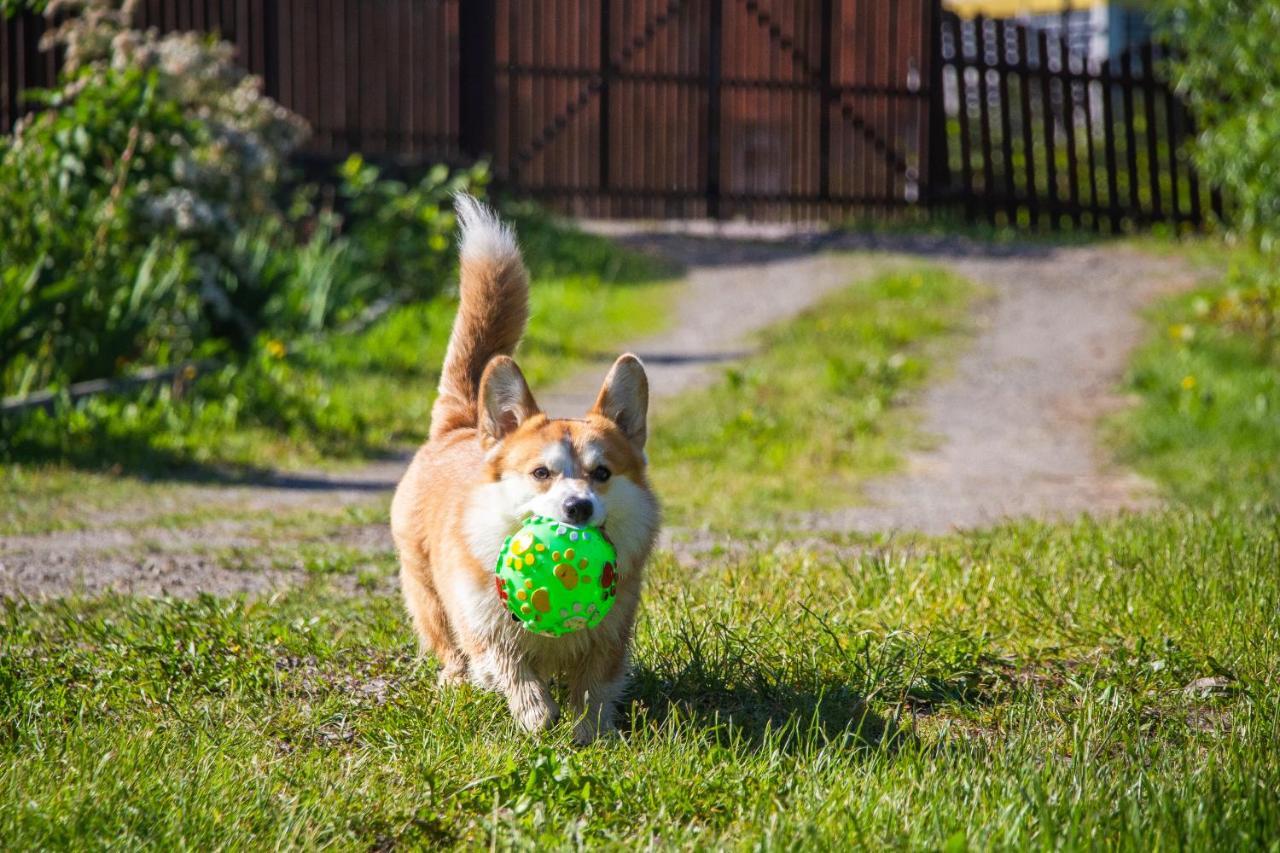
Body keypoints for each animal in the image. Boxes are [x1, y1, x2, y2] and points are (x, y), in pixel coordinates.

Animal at [389, 195, 660, 742]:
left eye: (602, 474)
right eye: (541, 473)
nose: (578, 509)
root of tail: (459, 425)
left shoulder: (612, 635)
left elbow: (595, 687)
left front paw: (589, 734)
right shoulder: (482, 623)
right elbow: (509, 665)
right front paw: (537, 714)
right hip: (425, 590)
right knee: (449, 649)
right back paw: (455, 687)